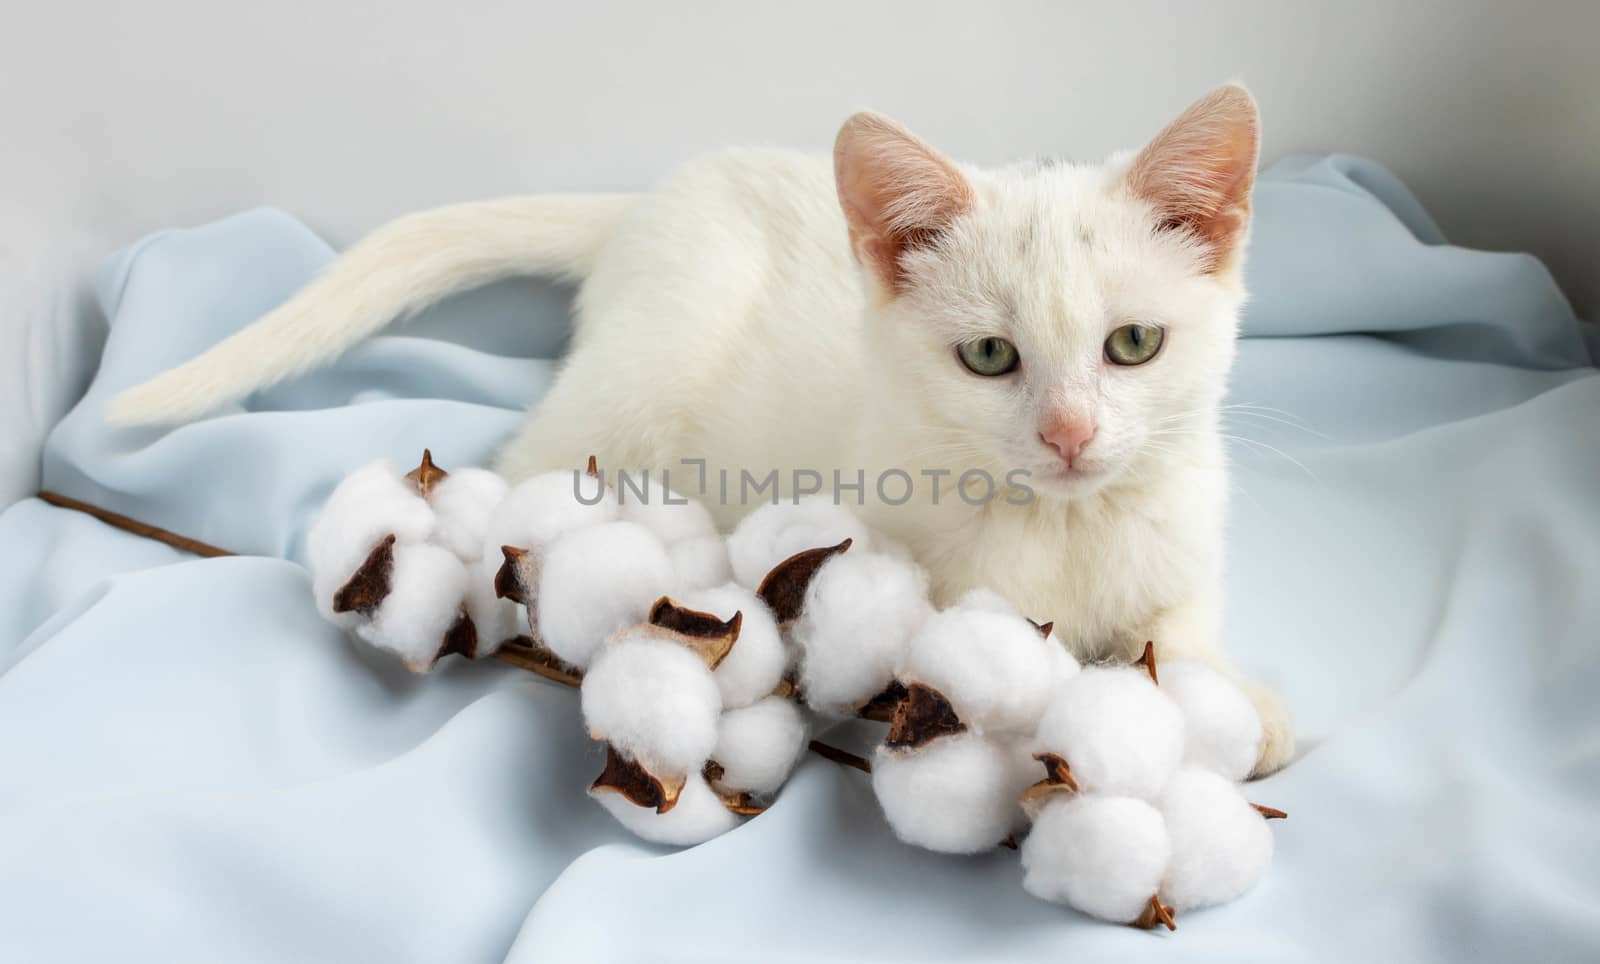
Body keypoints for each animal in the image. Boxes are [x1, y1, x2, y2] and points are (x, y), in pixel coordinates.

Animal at [112, 82, 1292, 771]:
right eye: (991, 358)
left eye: (1132, 344)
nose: (1070, 436)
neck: (1063, 526)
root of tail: (651, 202)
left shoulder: (1184, 537)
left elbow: (1179, 624)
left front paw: (1237, 703)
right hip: (634, 385)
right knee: (528, 469)